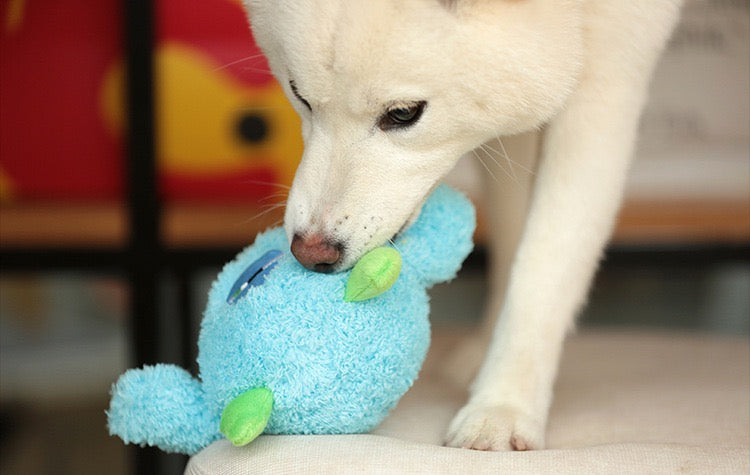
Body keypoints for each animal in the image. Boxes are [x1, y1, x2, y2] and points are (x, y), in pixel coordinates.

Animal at [244, 0, 684, 454]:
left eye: (403, 113)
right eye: (298, 94)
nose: (310, 251)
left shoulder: (608, 78)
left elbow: (544, 269)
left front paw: (503, 406)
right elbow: (512, 233)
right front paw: (487, 349)